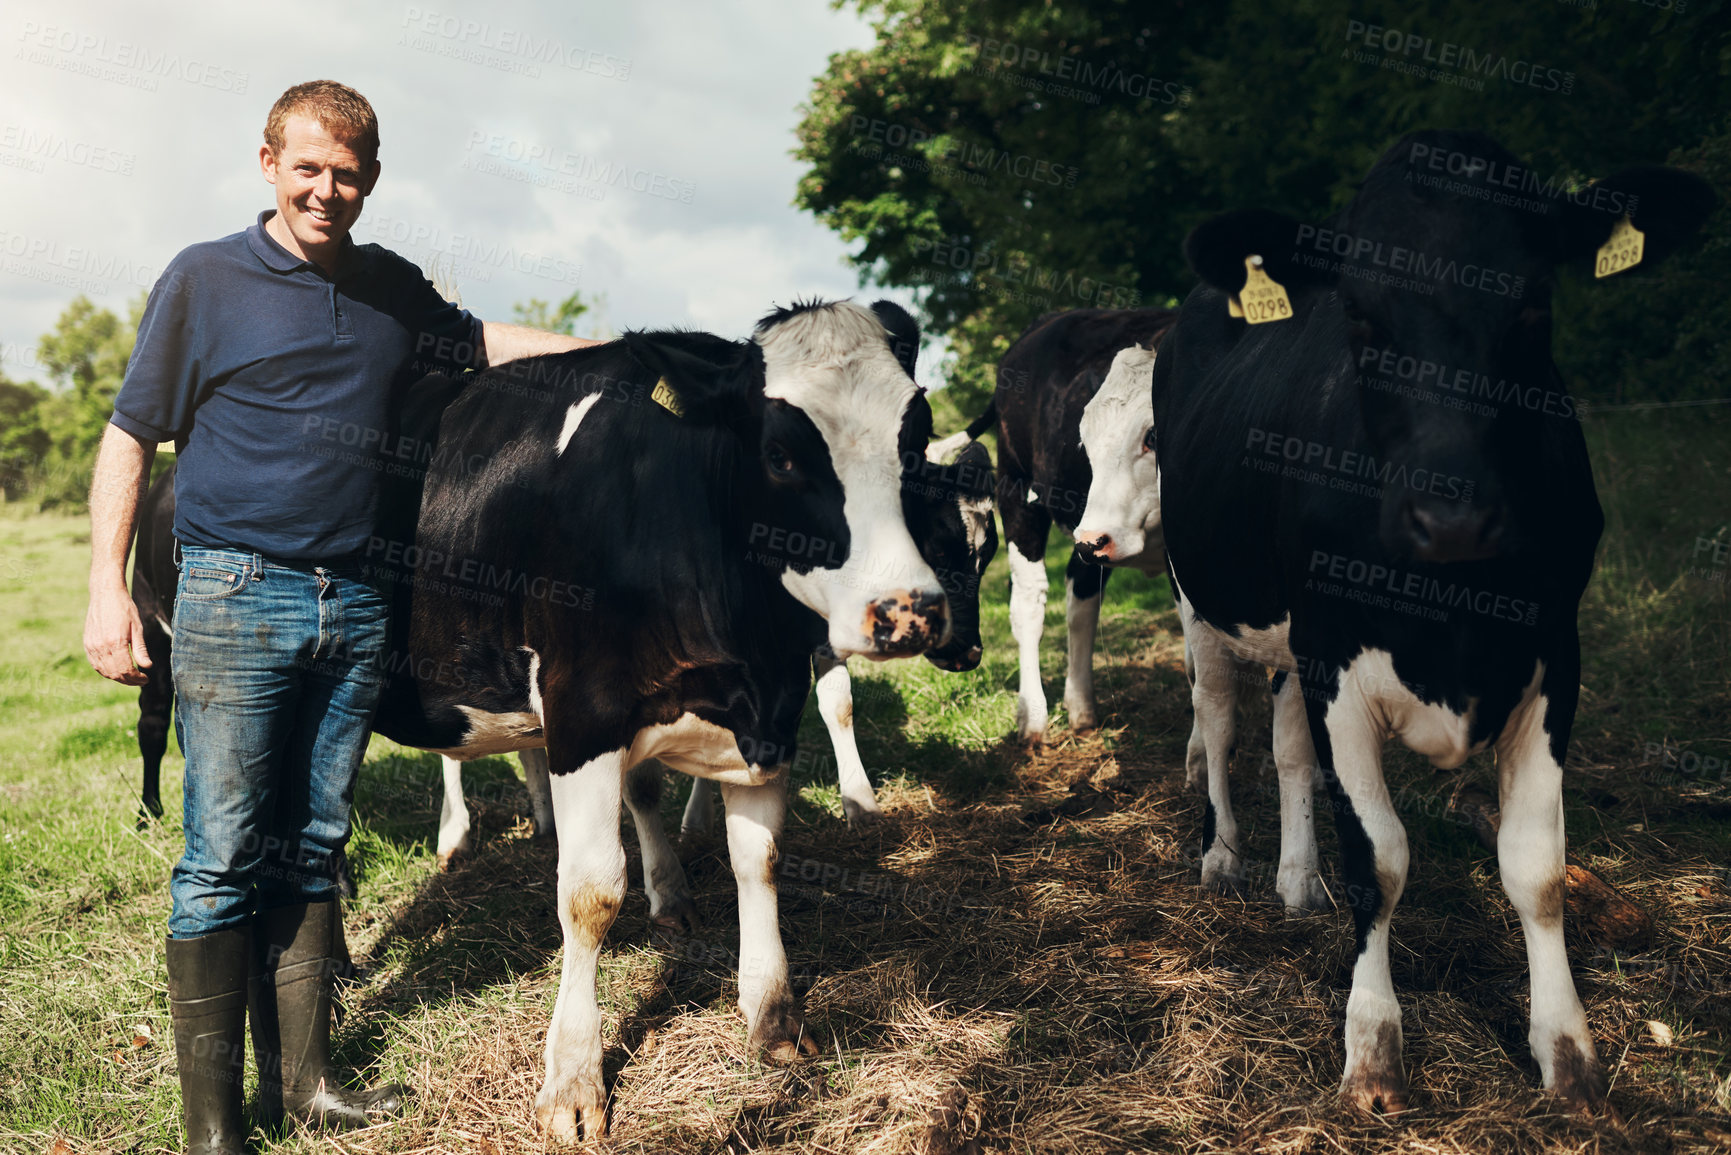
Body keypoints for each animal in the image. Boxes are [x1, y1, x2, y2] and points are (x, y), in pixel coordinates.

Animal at [370, 296, 955, 1135]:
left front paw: (772, 1014)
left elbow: (758, 858)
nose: (910, 610)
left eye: (912, 439)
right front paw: (573, 1081)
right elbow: (590, 893)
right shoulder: (582, 711)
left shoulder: (766, 721)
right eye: (779, 453)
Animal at [976, 306, 1177, 741]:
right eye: (1084, 440)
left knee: (1082, 598)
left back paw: (1082, 708)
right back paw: (1032, 717)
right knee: (1029, 604)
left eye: (1154, 434)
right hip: (1018, 492)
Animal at [1156, 130, 1710, 1115]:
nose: (1450, 518)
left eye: (1533, 305)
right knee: (1218, 724)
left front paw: (1566, 1052)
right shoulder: (1336, 658)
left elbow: (1535, 865)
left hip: (1292, 642)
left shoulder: (1553, 655)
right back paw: (1223, 858)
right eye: (1360, 319)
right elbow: (1377, 856)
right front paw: (1373, 1047)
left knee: (1287, 749)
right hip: (1200, 598)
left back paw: (1295, 880)